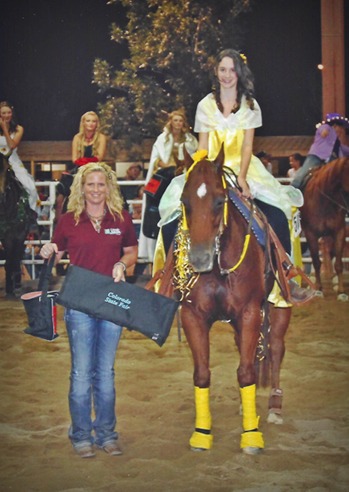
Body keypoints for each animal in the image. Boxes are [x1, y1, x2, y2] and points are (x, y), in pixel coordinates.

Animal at [173, 148, 290, 456]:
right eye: (184, 202)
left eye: (219, 200)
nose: (199, 258)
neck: (217, 269)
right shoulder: (192, 316)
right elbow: (202, 374)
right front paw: (202, 434)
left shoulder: (249, 313)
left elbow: (247, 373)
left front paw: (251, 437)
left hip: (278, 306)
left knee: (276, 349)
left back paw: (274, 407)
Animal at [300, 158, 348, 300]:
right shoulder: (310, 234)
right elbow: (316, 261)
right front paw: (318, 289)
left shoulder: (339, 232)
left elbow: (338, 263)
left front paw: (341, 291)